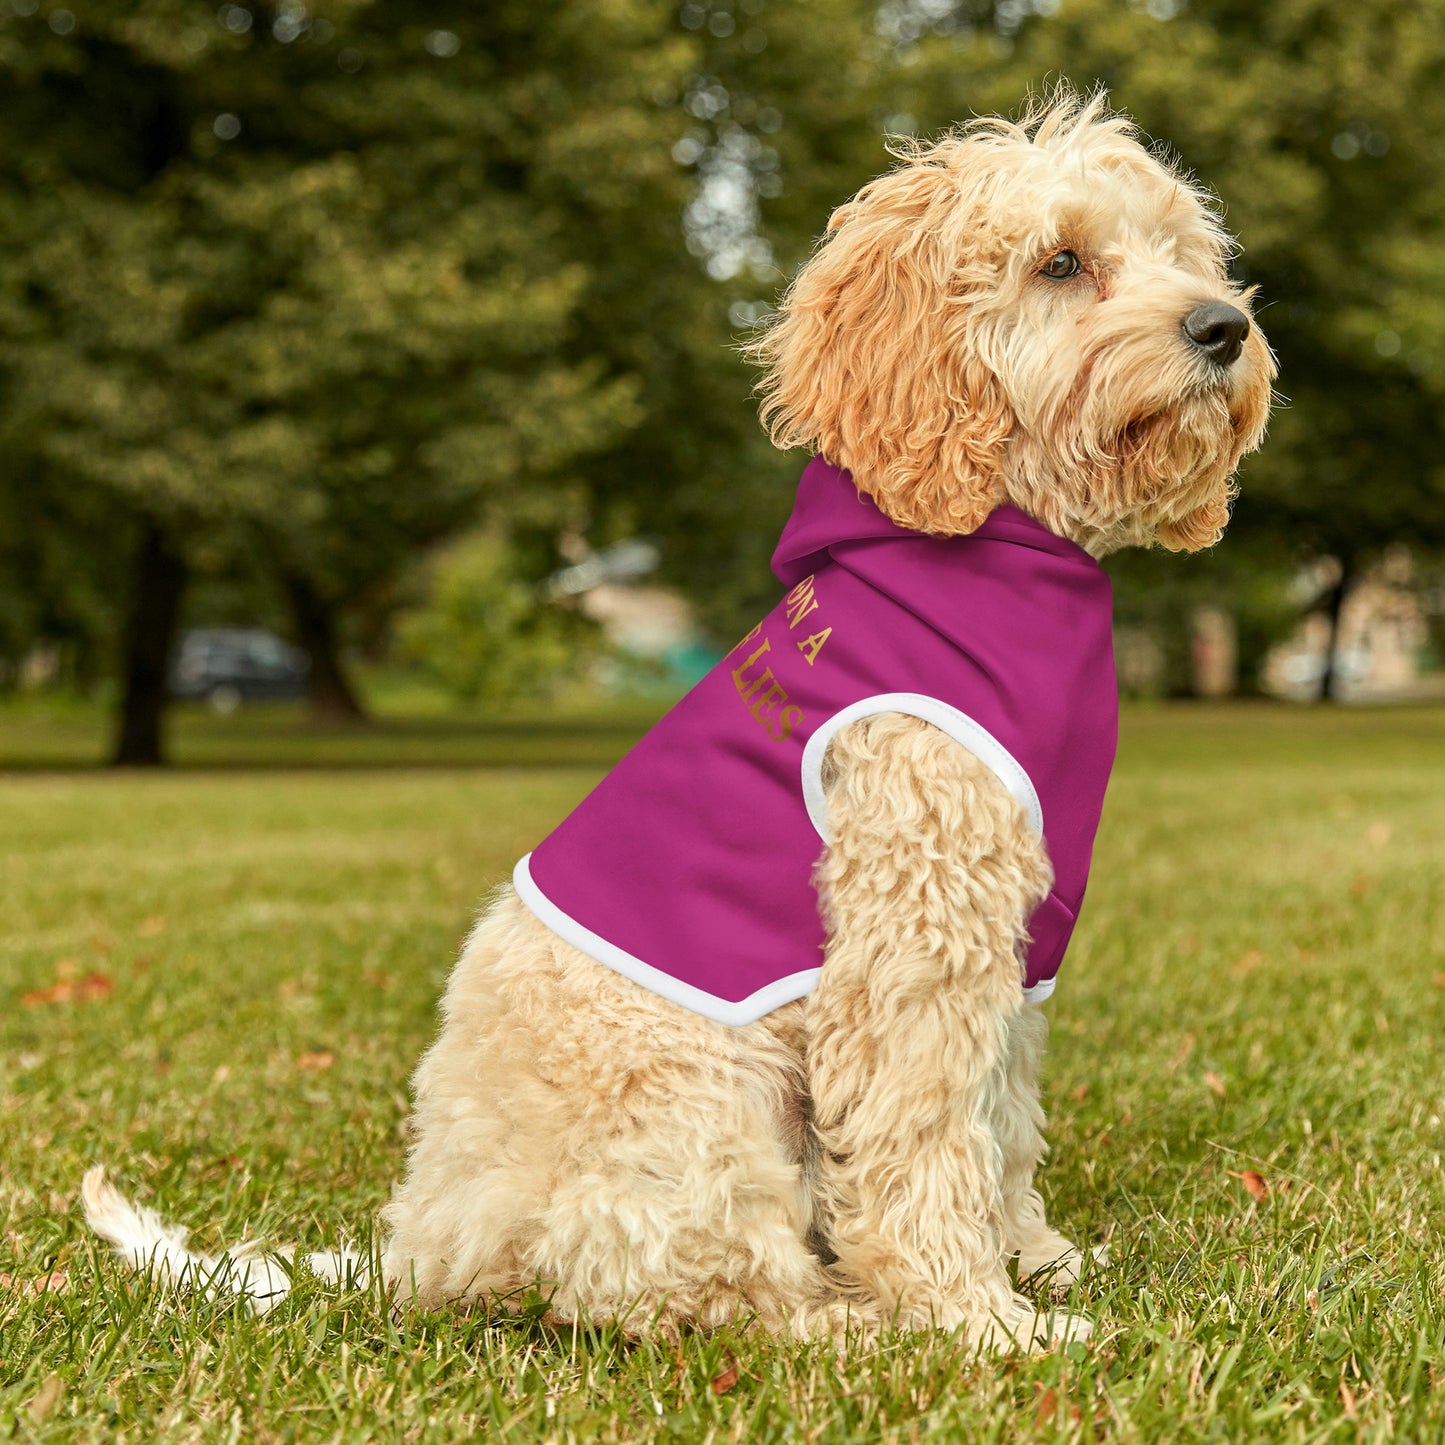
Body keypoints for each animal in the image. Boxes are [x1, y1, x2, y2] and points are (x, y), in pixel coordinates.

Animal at [84, 93, 1271, 1352]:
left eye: (1181, 252)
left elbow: (999, 1121)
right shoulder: (913, 936)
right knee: (698, 1291)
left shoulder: (1011, 946)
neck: (991, 550)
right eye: (1060, 262)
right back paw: (852, 1322)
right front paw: (976, 1318)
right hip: (703, 1101)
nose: (1222, 327)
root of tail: (424, 1246)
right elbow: (924, 1138)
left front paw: (1034, 1259)